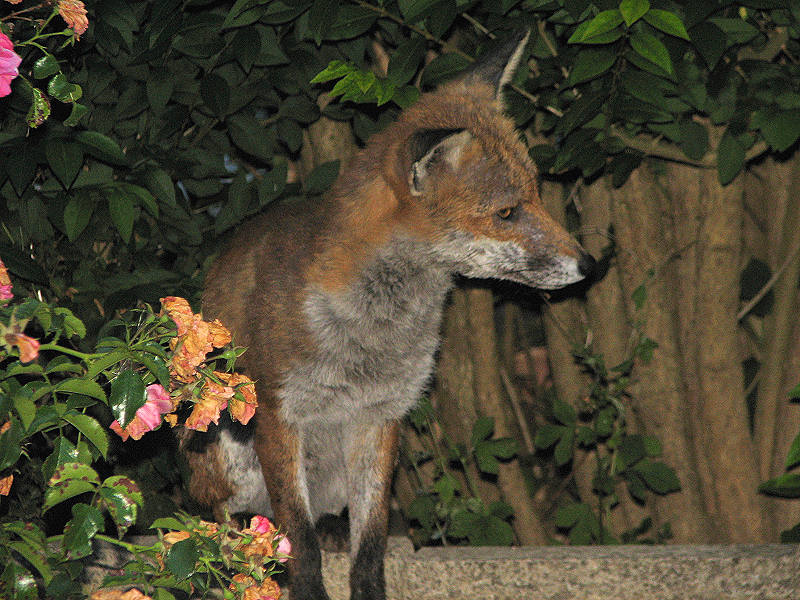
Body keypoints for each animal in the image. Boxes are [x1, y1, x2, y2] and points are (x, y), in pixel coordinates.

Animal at [199, 30, 592, 600]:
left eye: (538, 196)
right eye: (507, 213)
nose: (590, 264)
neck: (376, 332)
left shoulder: (381, 416)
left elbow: (370, 543)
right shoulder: (279, 412)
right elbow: (301, 543)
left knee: (324, 519)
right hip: (228, 441)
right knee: (229, 515)